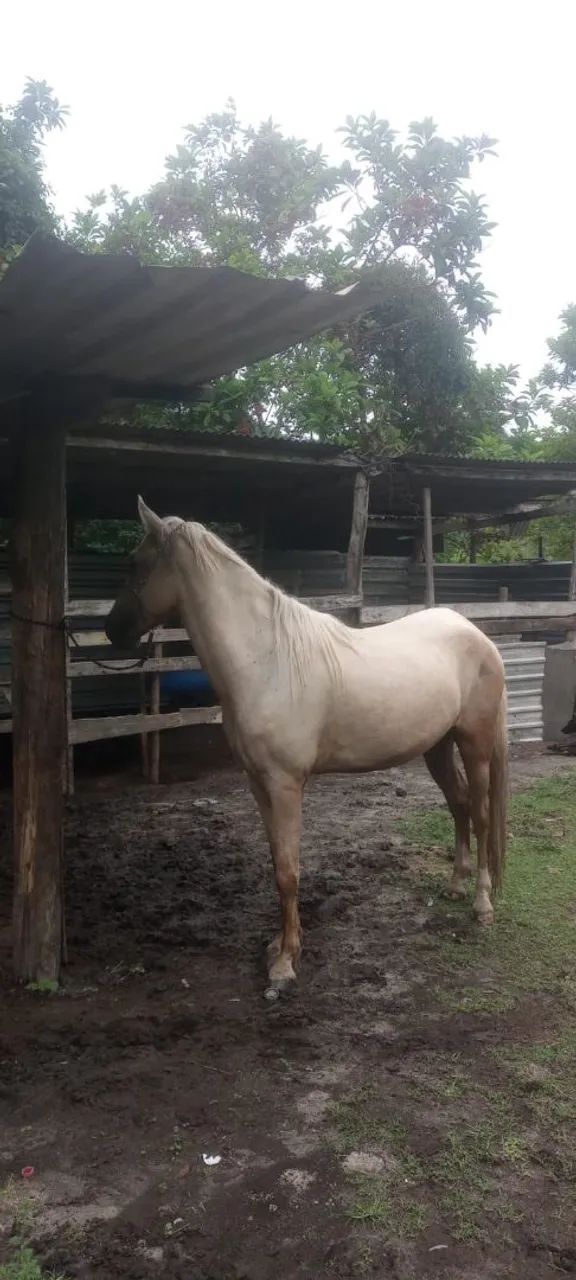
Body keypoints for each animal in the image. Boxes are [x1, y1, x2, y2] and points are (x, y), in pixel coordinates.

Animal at [106, 498, 508, 999]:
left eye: (134, 562)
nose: (110, 630)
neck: (266, 661)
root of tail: (477, 634)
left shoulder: (285, 785)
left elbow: (289, 871)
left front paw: (284, 966)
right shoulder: (259, 785)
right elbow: (279, 864)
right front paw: (280, 947)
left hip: (475, 744)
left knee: (481, 814)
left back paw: (482, 906)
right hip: (437, 747)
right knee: (459, 806)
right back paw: (454, 885)